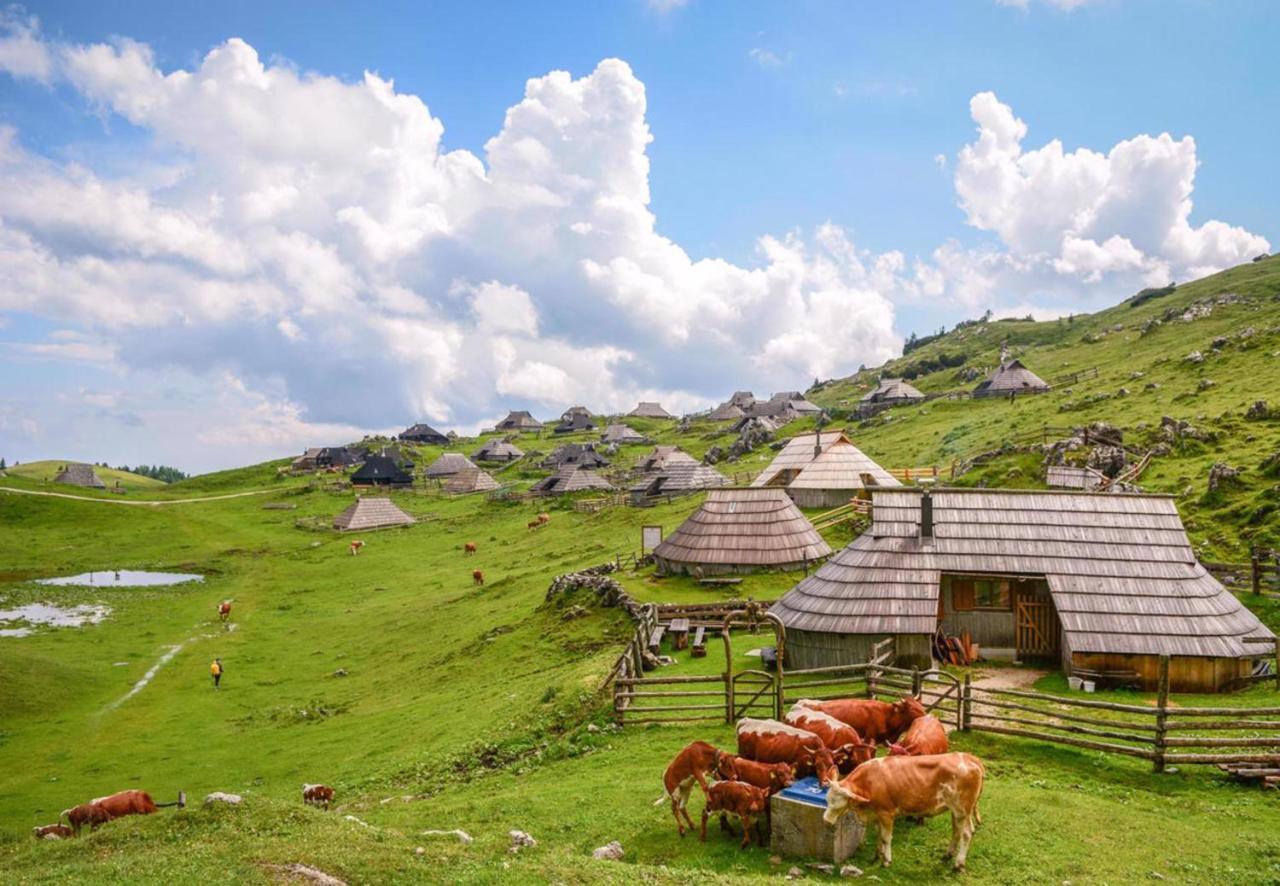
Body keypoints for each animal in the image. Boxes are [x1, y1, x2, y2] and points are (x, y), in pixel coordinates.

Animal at [824, 752, 983, 870]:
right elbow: (879, 835)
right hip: (956, 811)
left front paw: (887, 860)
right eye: (827, 799)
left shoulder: (886, 813)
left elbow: (886, 837)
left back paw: (958, 864)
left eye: (836, 803)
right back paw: (947, 855)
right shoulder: (877, 814)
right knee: (957, 831)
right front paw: (877, 855)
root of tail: (968, 757)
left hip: (962, 810)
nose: (826, 820)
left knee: (966, 834)